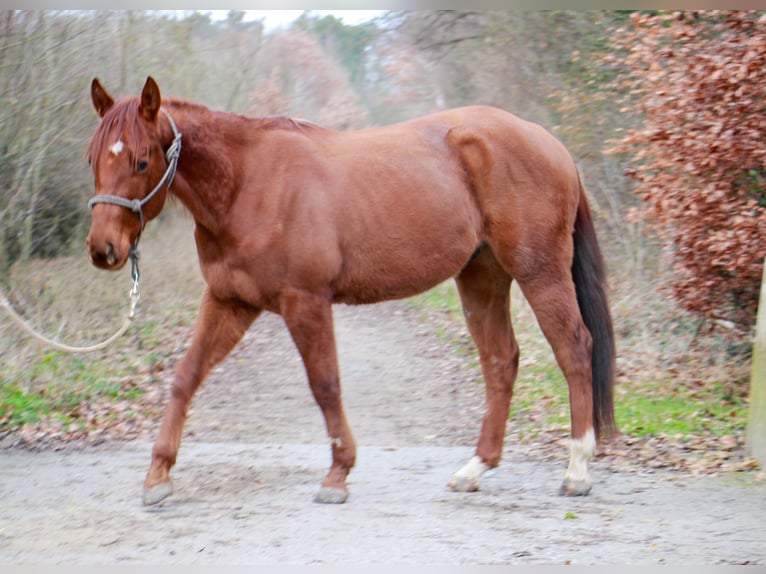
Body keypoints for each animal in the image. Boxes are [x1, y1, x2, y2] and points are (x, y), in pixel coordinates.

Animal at [85, 76, 616, 506]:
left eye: (141, 160)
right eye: (93, 158)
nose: (103, 249)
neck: (248, 183)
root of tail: (549, 143)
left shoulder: (305, 301)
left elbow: (325, 384)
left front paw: (337, 475)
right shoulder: (229, 301)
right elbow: (185, 376)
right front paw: (157, 476)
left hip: (540, 272)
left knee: (574, 348)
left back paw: (577, 468)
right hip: (481, 278)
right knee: (502, 361)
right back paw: (475, 469)